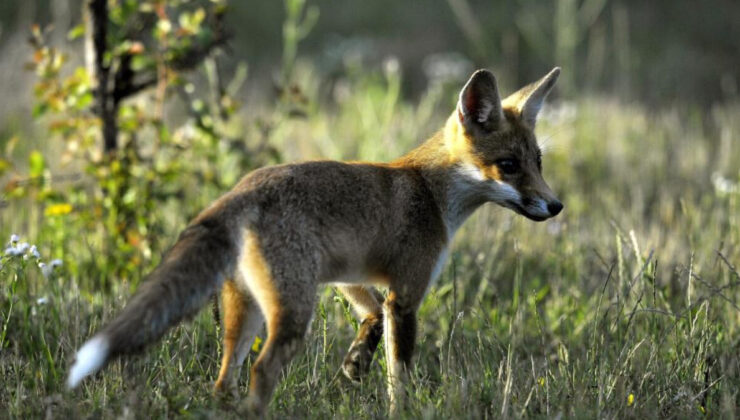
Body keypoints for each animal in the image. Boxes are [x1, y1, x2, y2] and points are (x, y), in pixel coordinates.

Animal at [68, 67, 560, 416]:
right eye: (509, 165)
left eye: (538, 162)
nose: (555, 206)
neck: (430, 191)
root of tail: (240, 189)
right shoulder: (406, 295)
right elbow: (400, 377)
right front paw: (399, 406)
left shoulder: (347, 276)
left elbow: (371, 320)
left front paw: (354, 365)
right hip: (291, 313)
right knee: (260, 373)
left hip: (245, 310)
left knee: (223, 383)